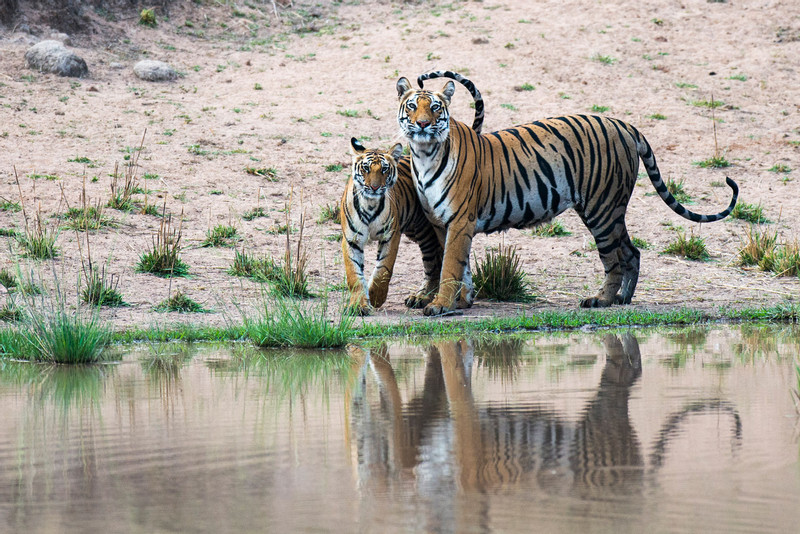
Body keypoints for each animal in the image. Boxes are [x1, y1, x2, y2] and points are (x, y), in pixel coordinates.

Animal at [340, 71, 484, 314]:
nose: (375, 187)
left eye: (384, 170)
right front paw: (359, 304)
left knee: (435, 262)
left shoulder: (392, 235)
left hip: (423, 231)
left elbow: (383, 270)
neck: (370, 204)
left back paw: (424, 297)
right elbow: (354, 274)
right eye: (366, 169)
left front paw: (375, 297)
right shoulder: (351, 239)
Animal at [396, 69, 740, 316]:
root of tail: (623, 124)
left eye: (435, 107)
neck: (424, 154)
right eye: (412, 106)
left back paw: (601, 299)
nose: (423, 124)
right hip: (609, 210)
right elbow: (453, 264)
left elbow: (450, 264)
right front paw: (461, 300)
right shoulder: (440, 222)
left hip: (601, 209)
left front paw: (442, 305)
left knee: (613, 259)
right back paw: (623, 299)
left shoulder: (459, 220)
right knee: (632, 251)